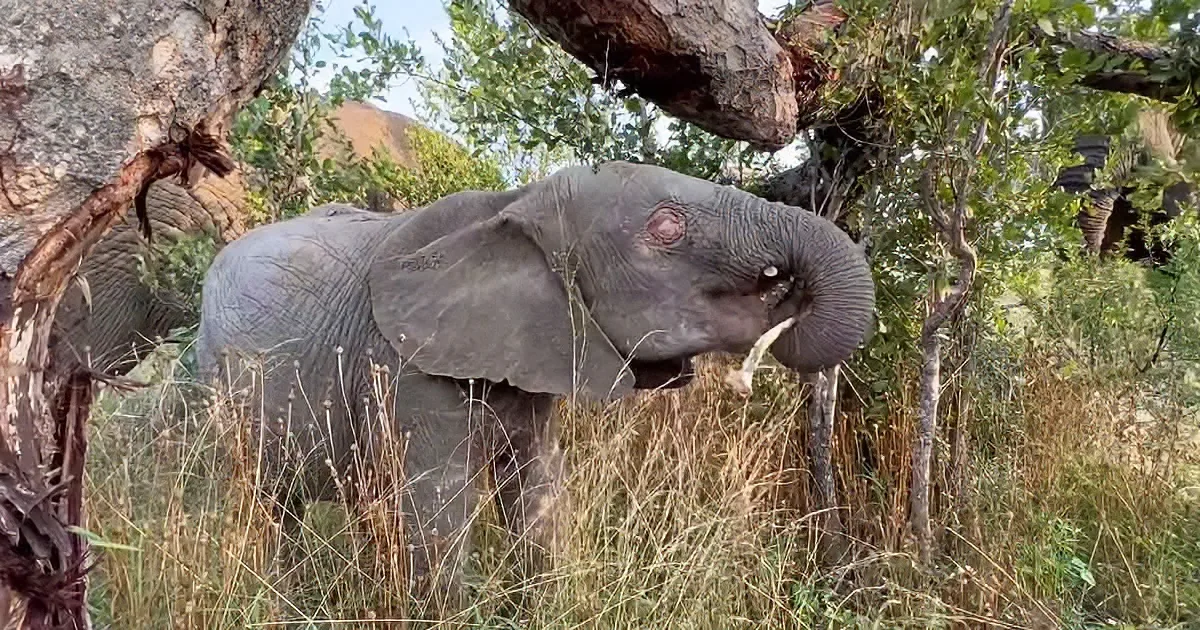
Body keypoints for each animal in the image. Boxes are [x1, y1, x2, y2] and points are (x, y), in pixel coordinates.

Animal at [193, 160, 877, 616]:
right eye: (666, 227)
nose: (785, 287)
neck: (519, 203)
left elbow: (539, 496)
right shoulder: (404, 365)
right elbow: (436, 516)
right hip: (217, 383)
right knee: (256, 503)